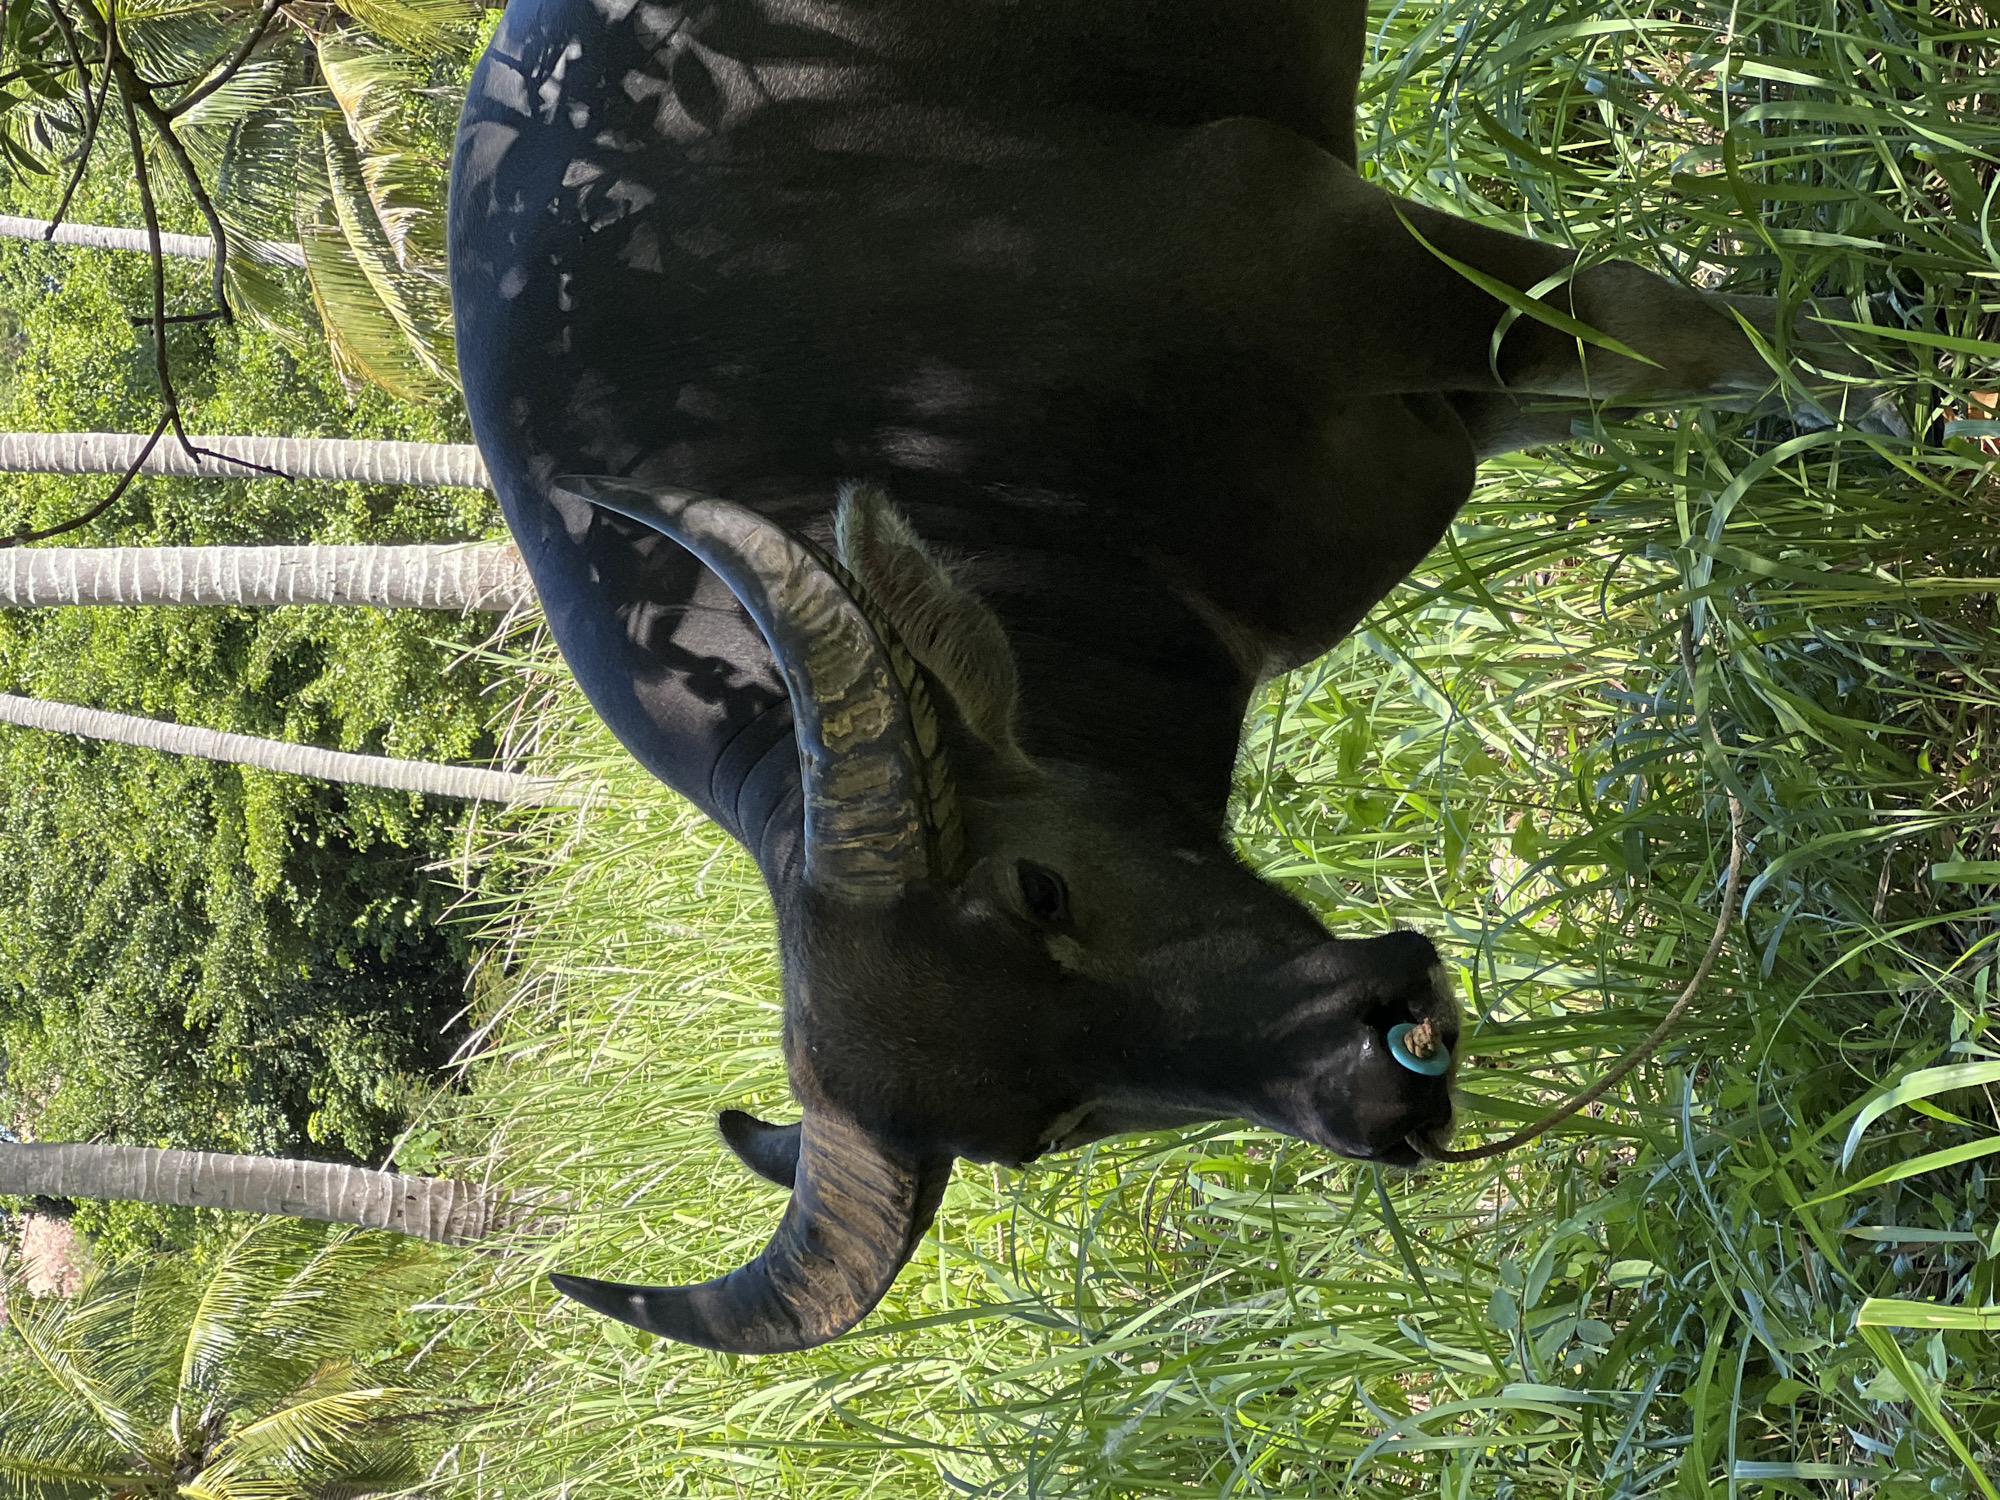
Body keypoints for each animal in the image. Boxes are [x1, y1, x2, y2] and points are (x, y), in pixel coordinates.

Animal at [448, 0, 1893, 1352]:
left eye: (1037, 887)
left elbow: (1689, 338)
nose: (1370, 1091)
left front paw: (1909, 395)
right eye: (1052, 1129)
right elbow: (1661, 377)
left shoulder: (1342, 252)